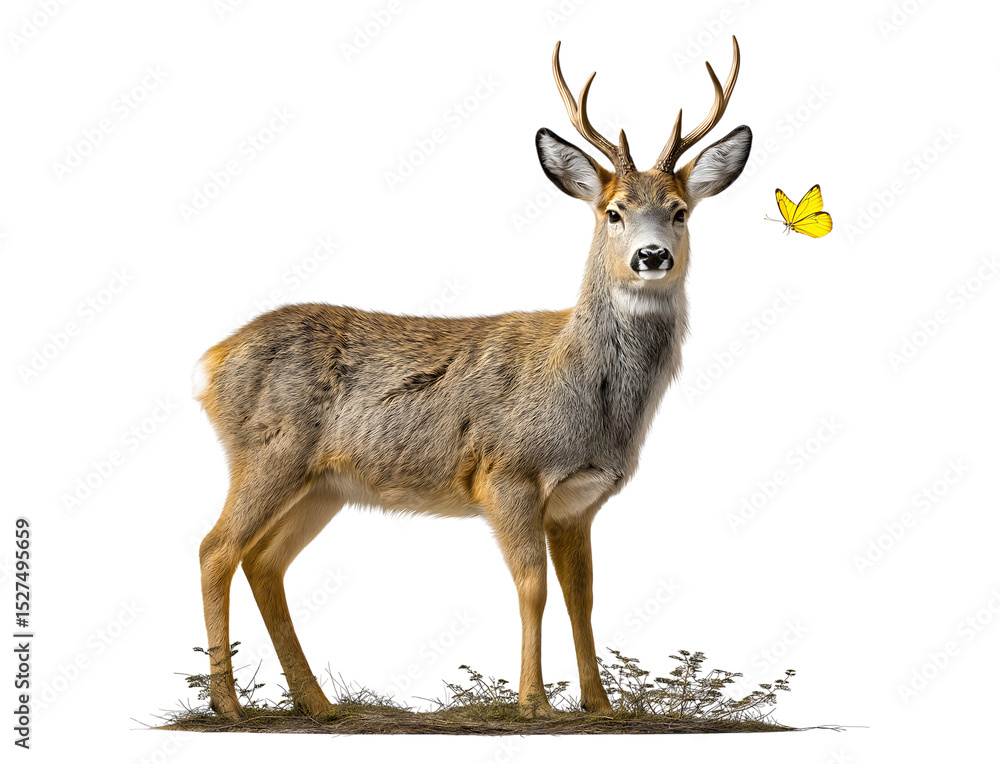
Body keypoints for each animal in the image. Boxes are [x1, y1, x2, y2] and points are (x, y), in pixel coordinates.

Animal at [194, 37, 751, 720]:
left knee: (265, 563)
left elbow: (583, 598)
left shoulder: (579, 502)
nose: (652, 256)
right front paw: (533, 704)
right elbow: (533, 588)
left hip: (323, 484)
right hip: (267, 451)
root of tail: (211, 363)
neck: (583, 396)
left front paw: (599, 707)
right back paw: (229, 706)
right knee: (216, 549)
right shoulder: (506, 473)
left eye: (679, 211)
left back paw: (318, 705)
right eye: (613, 212)